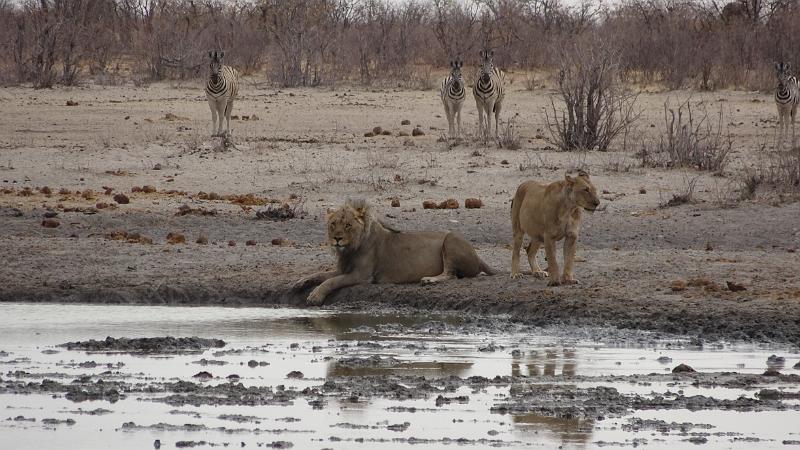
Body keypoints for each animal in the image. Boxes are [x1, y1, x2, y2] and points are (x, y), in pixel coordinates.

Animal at [292, 200, 494, 306]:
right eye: (333, 224)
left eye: (348, 225)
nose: (337, 239)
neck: (350, 249)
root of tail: (478, 256)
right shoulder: (343, 269)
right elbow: (320, 274)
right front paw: (300, 282)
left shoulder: (361, 275)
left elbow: (331, 281)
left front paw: (315, 296)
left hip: (451, 239)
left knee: (451, 274)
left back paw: (429, 280)